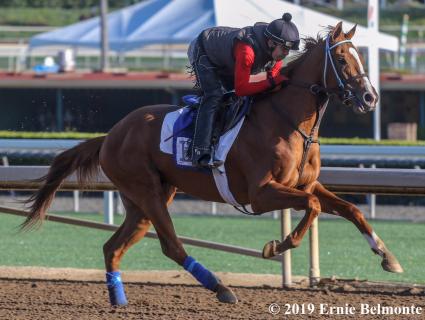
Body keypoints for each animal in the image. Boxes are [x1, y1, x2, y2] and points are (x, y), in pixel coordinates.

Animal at [22, 21, 400, 304]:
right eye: (342, 58)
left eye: (361, 57)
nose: (370, 97)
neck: (289, 123)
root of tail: (111, 135)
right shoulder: (261, 193)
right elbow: (312, 207)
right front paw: (277, 245)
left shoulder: (305, 183)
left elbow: (350, 209)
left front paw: (387, 256)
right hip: (148, 193)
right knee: (171, 246)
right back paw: (221, 288)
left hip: (144, 201)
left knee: (113, 247)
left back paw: (119, 299)